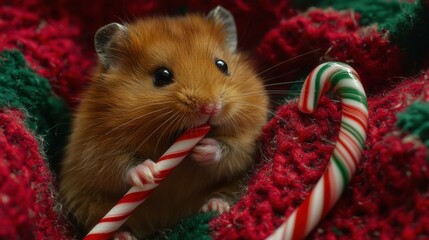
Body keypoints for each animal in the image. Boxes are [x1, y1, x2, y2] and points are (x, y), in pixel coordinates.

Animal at [60, 5, 268, 238]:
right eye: (162, 76)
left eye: (222, 65)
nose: (211, 107)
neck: (171, 138)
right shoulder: (95, 150)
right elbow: (119, 165)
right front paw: (149, 172)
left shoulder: (249, 139)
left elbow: (233, 151)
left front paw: (202, 149)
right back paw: (123, 235)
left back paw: (215, 205)